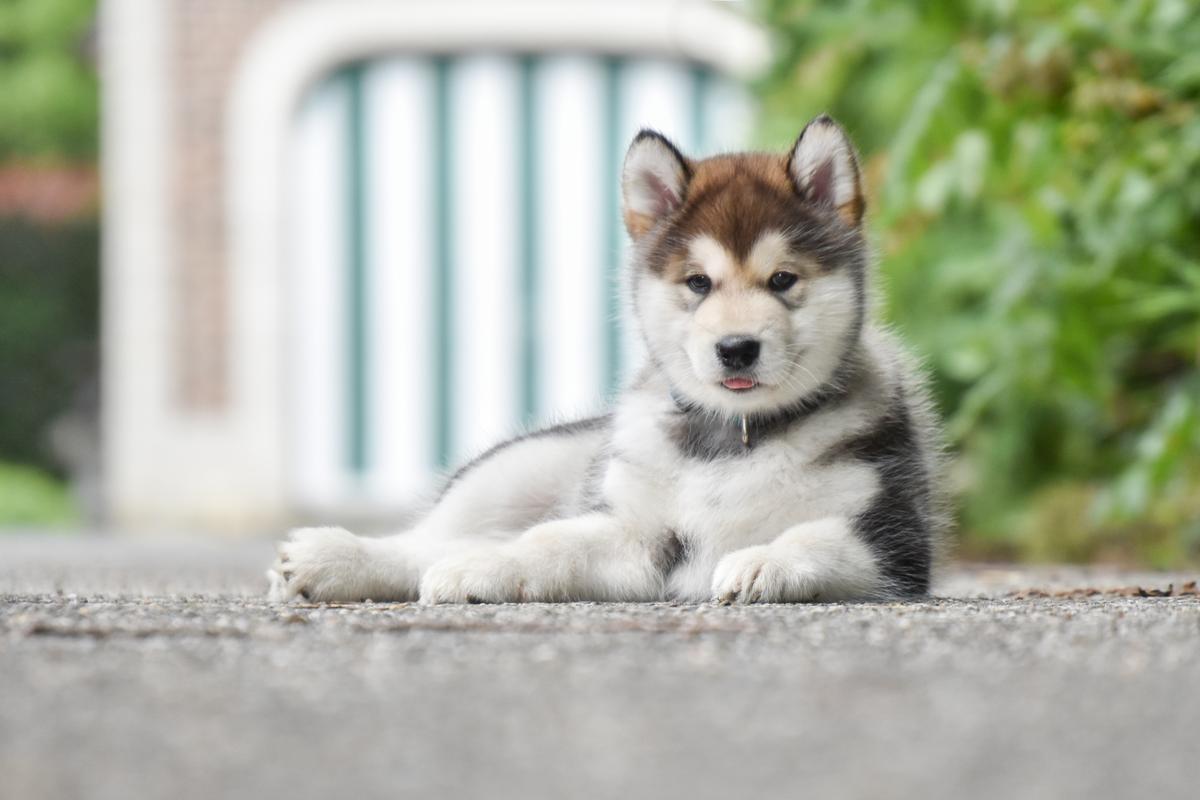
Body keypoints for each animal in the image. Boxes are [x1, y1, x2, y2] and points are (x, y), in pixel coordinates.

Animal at [270, 113, 945, 606]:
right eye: (698, 283)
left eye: (783, 279)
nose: (735, 348)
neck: (732, 440)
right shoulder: (637, 533)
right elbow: (545, 544)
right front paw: (488, 567)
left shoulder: (892, 542)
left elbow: (815, 536)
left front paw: (763, 562)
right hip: (517, 468)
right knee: (434, 541)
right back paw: (335, 557)